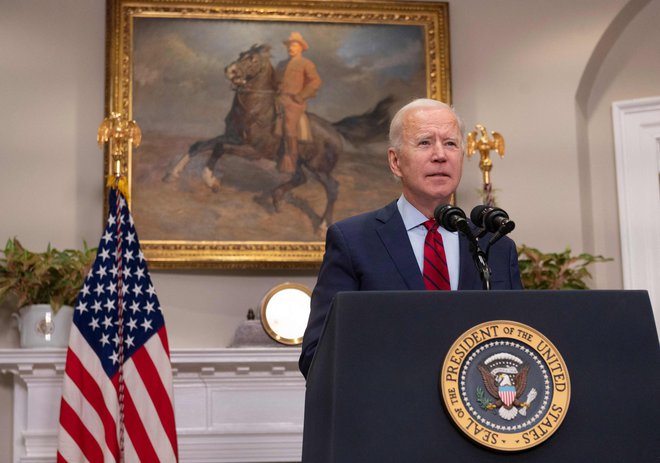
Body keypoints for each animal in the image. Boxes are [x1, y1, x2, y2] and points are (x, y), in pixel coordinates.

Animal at [163, 44, 394, 229]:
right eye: (241, 54)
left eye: (253, 60)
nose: (230, 70)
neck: (256, 110)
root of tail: (334, 128)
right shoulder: (232, 137)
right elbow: (201, 145)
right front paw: (173, 174)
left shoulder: (252, 151)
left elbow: (219, 148)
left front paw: (211, 181)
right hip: (296, 160)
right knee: (300, 178)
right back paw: (276, 199)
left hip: (319, 168)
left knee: (332, 188)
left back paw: (322, 225)